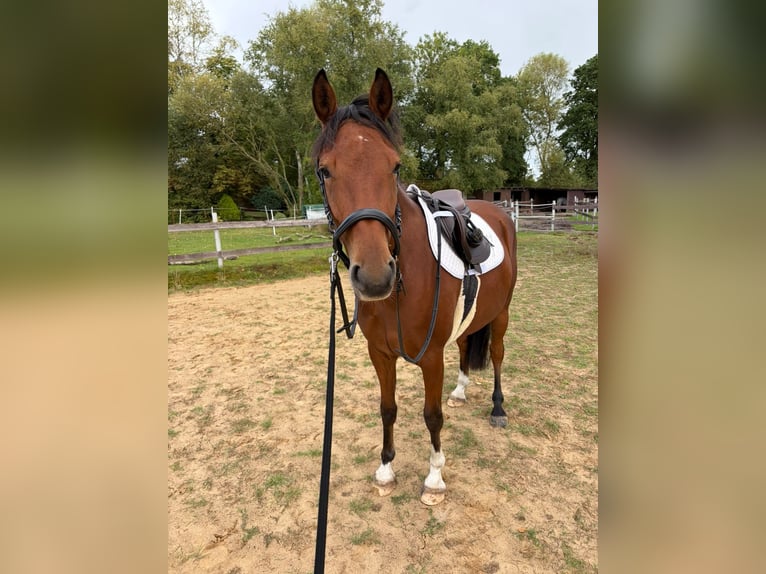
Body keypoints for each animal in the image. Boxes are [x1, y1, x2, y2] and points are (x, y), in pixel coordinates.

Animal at [312, 68, 517, 506]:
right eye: (324, 170)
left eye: (394, 166)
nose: (376, 276)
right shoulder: (380, 353)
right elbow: (387, 408)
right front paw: (386, 469)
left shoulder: (430, 357)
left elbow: (431, 415)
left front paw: (435, 478)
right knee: (466, 345)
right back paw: (461, 390)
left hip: (502, 314)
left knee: (496, 354)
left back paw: (497, 408)